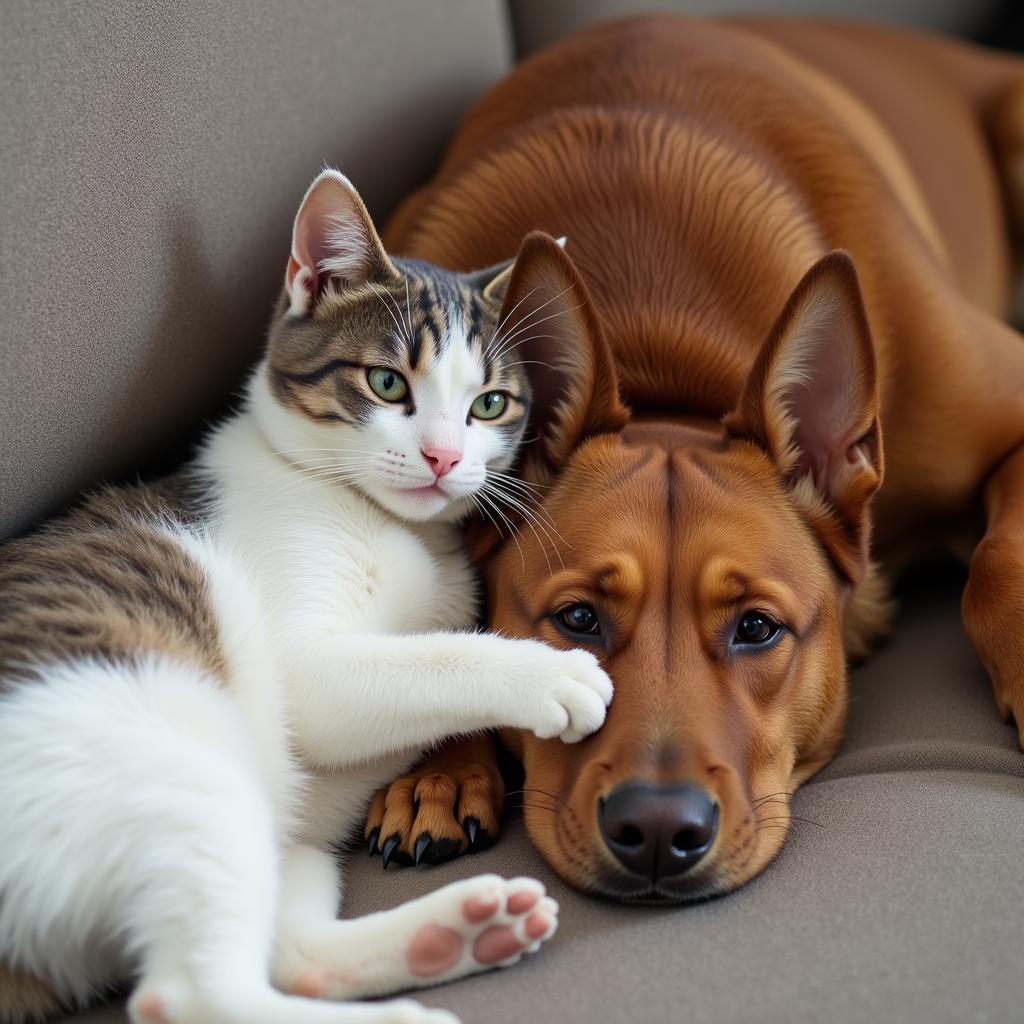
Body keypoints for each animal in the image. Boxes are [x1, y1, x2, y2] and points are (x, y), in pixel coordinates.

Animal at [0, 172, 610, 1024]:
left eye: (489, 404)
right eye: (387, 383)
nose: (443, 457)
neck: (390, 524)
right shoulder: (305, 664)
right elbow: (431, 657)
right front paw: (552, 673)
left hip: (287, 845)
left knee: (288, 953)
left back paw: (457, 933)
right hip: (169, 765)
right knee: (186, 995)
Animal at [362, 12, 1024, 901]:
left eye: (756, 628)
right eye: (577, 619)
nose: (655, 833)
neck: (661, 360)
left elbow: (994, 566)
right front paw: (436, 769)